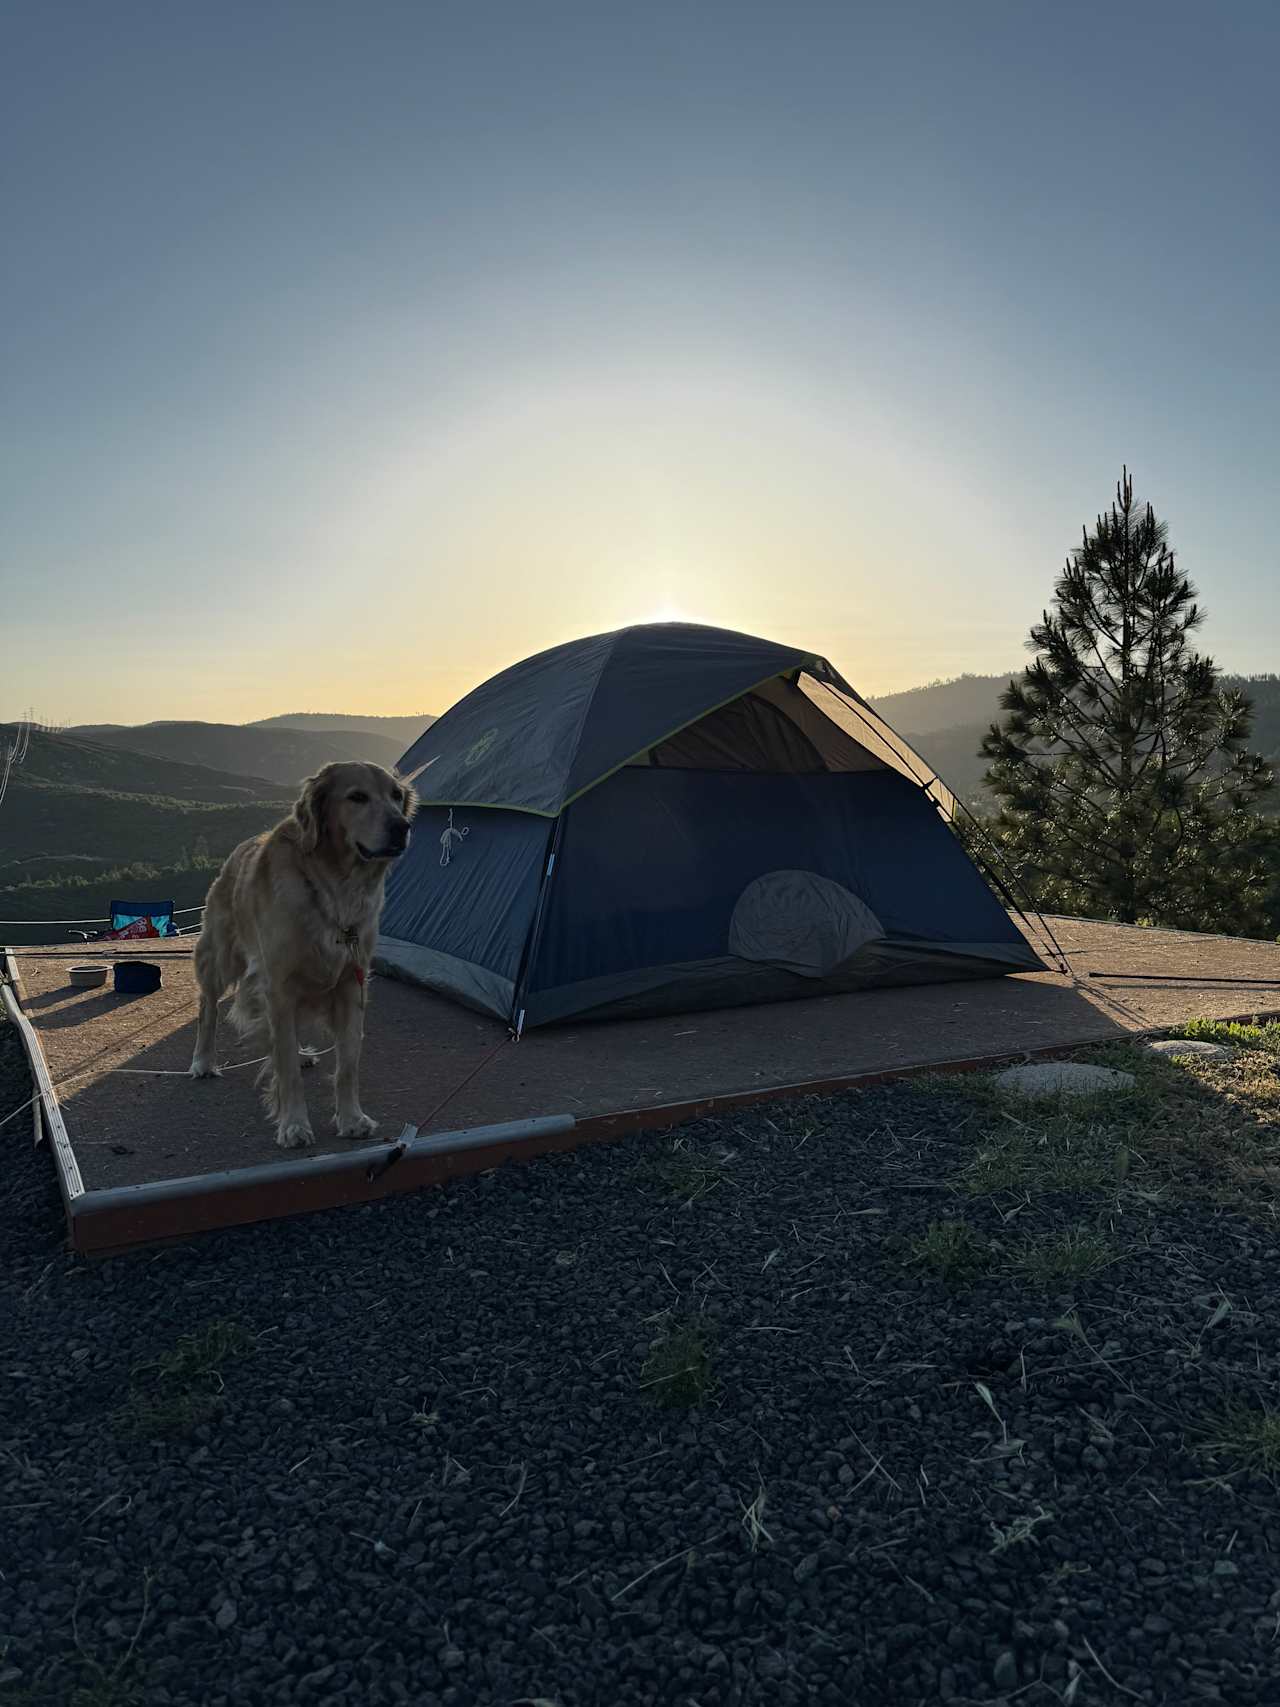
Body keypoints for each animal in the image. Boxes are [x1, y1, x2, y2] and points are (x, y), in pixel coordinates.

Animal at [187, 761, 418, 1147]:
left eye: (396, 795)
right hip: (220, 957)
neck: (335, 890)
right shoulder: (278, 986)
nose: (402, 827)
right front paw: (293, 1124)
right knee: (208, 1007)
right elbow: (286, 1070)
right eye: (357, 797)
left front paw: (351, 1118)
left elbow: (348, 1065)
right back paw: (203, 1061)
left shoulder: (351, 984)